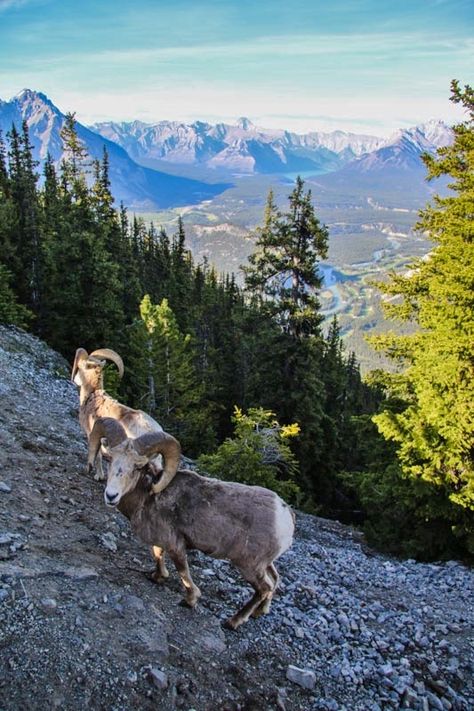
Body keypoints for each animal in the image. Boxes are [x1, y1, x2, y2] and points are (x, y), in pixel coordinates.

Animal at [89, 418, 294, 628]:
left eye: (137, 467)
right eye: (110, 459)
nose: (111, 496)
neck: (148, 496)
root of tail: (285, 515)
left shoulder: (176, 546)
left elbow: (184, 573)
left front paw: (190, 600)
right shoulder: (161, 541)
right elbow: (157, 555)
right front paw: (158, 577)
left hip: (249, 567)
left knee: (264, 588)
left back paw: (233, 622)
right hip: (265, 564)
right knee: (274, 580)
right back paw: (260, 612)